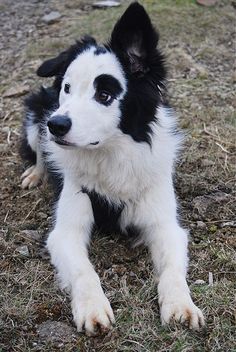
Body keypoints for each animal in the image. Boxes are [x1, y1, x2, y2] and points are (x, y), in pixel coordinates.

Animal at [20, 2, 205, 336]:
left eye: (104, 95)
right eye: (67, 88)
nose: (57, 125)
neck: (111, 155)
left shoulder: (165, 225)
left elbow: (172, 270)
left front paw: (181, 305)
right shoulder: (65, 231)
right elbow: (84, 270)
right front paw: (92, 308)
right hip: (36, 114)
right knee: (39, 150)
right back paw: (35, 174)